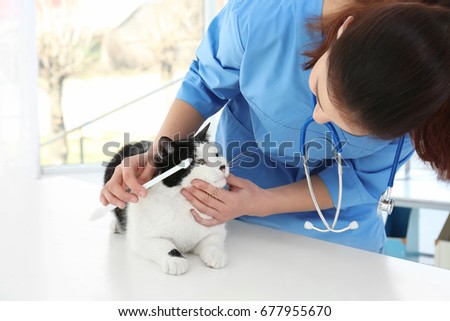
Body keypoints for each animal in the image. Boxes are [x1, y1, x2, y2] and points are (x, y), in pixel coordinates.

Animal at [103, 124, 230, 274]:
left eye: (216, 155)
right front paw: (175, 260)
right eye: (200, 161)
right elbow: (164, 245)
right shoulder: (142, 239)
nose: (223, 166)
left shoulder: (216, 230)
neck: (183, 204)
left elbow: (212, 242)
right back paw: (116, 225)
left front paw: (216, 254)